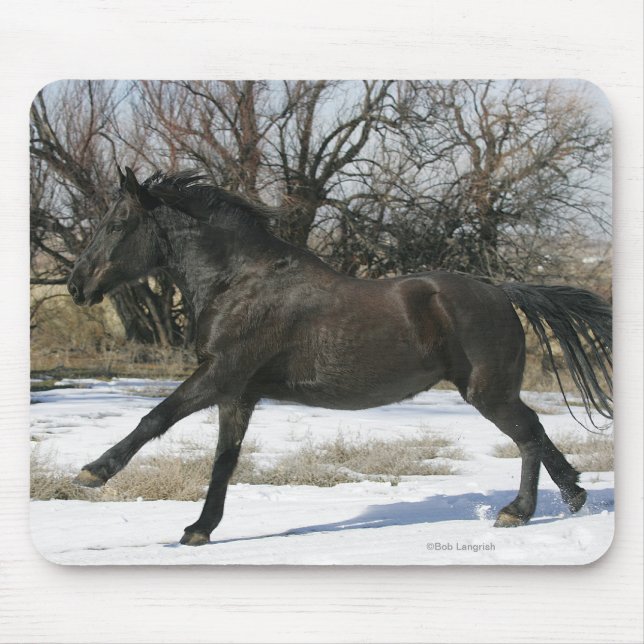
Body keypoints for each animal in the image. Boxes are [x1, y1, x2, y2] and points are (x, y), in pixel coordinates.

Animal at [67, 167, 613, 546]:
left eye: (117, 223)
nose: (76, 286)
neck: (239, 281)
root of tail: (500, 291)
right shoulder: (237, 395)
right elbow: (224, 460)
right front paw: (200, 528)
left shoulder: (220, 374)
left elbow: (156, 417)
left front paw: (93, 472)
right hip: (493, 391)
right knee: (535, 432)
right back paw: (572, 496)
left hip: (488, 392)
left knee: (528, 437)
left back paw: (518, 511)